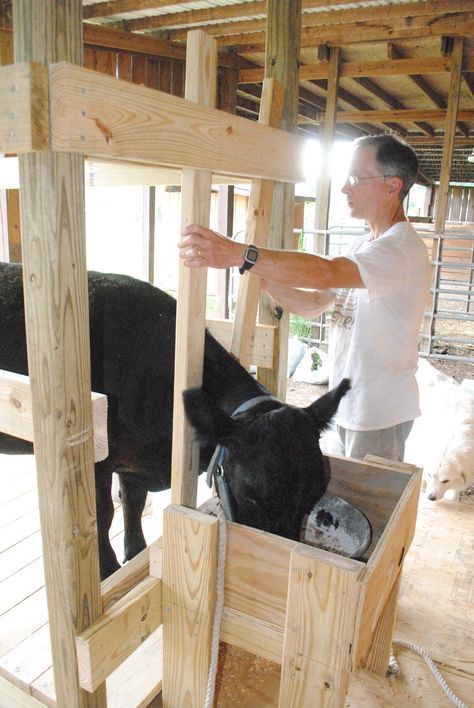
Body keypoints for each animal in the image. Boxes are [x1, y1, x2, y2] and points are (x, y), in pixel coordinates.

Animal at [0, 262, 348, 580]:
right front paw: (108, 572)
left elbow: (132, 503)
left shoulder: (134, 462)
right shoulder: (97, 458)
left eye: (315, 495)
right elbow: (101, 515)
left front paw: (135, 553)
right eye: (252, 495)